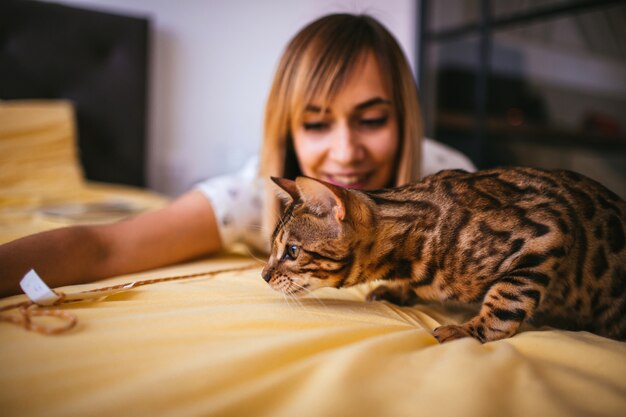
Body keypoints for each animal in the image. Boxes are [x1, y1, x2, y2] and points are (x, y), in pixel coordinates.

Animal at [260, 167, 624, 342]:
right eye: (272, 247)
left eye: (292, 251)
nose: (263, 275)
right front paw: (396, 291)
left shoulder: (549, 229)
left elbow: (505, 300)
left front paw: (472, 330)